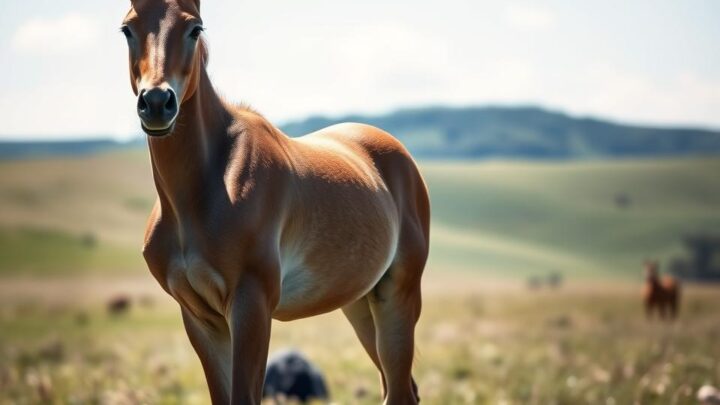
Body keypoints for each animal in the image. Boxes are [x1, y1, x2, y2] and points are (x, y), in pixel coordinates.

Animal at [120, 1, 430, 404]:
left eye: (195, 29)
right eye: (127, 29)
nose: (157, 103)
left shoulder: (252, 305)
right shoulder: (199, 317)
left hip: (399, 295)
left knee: (401, 389)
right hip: (361, 302)